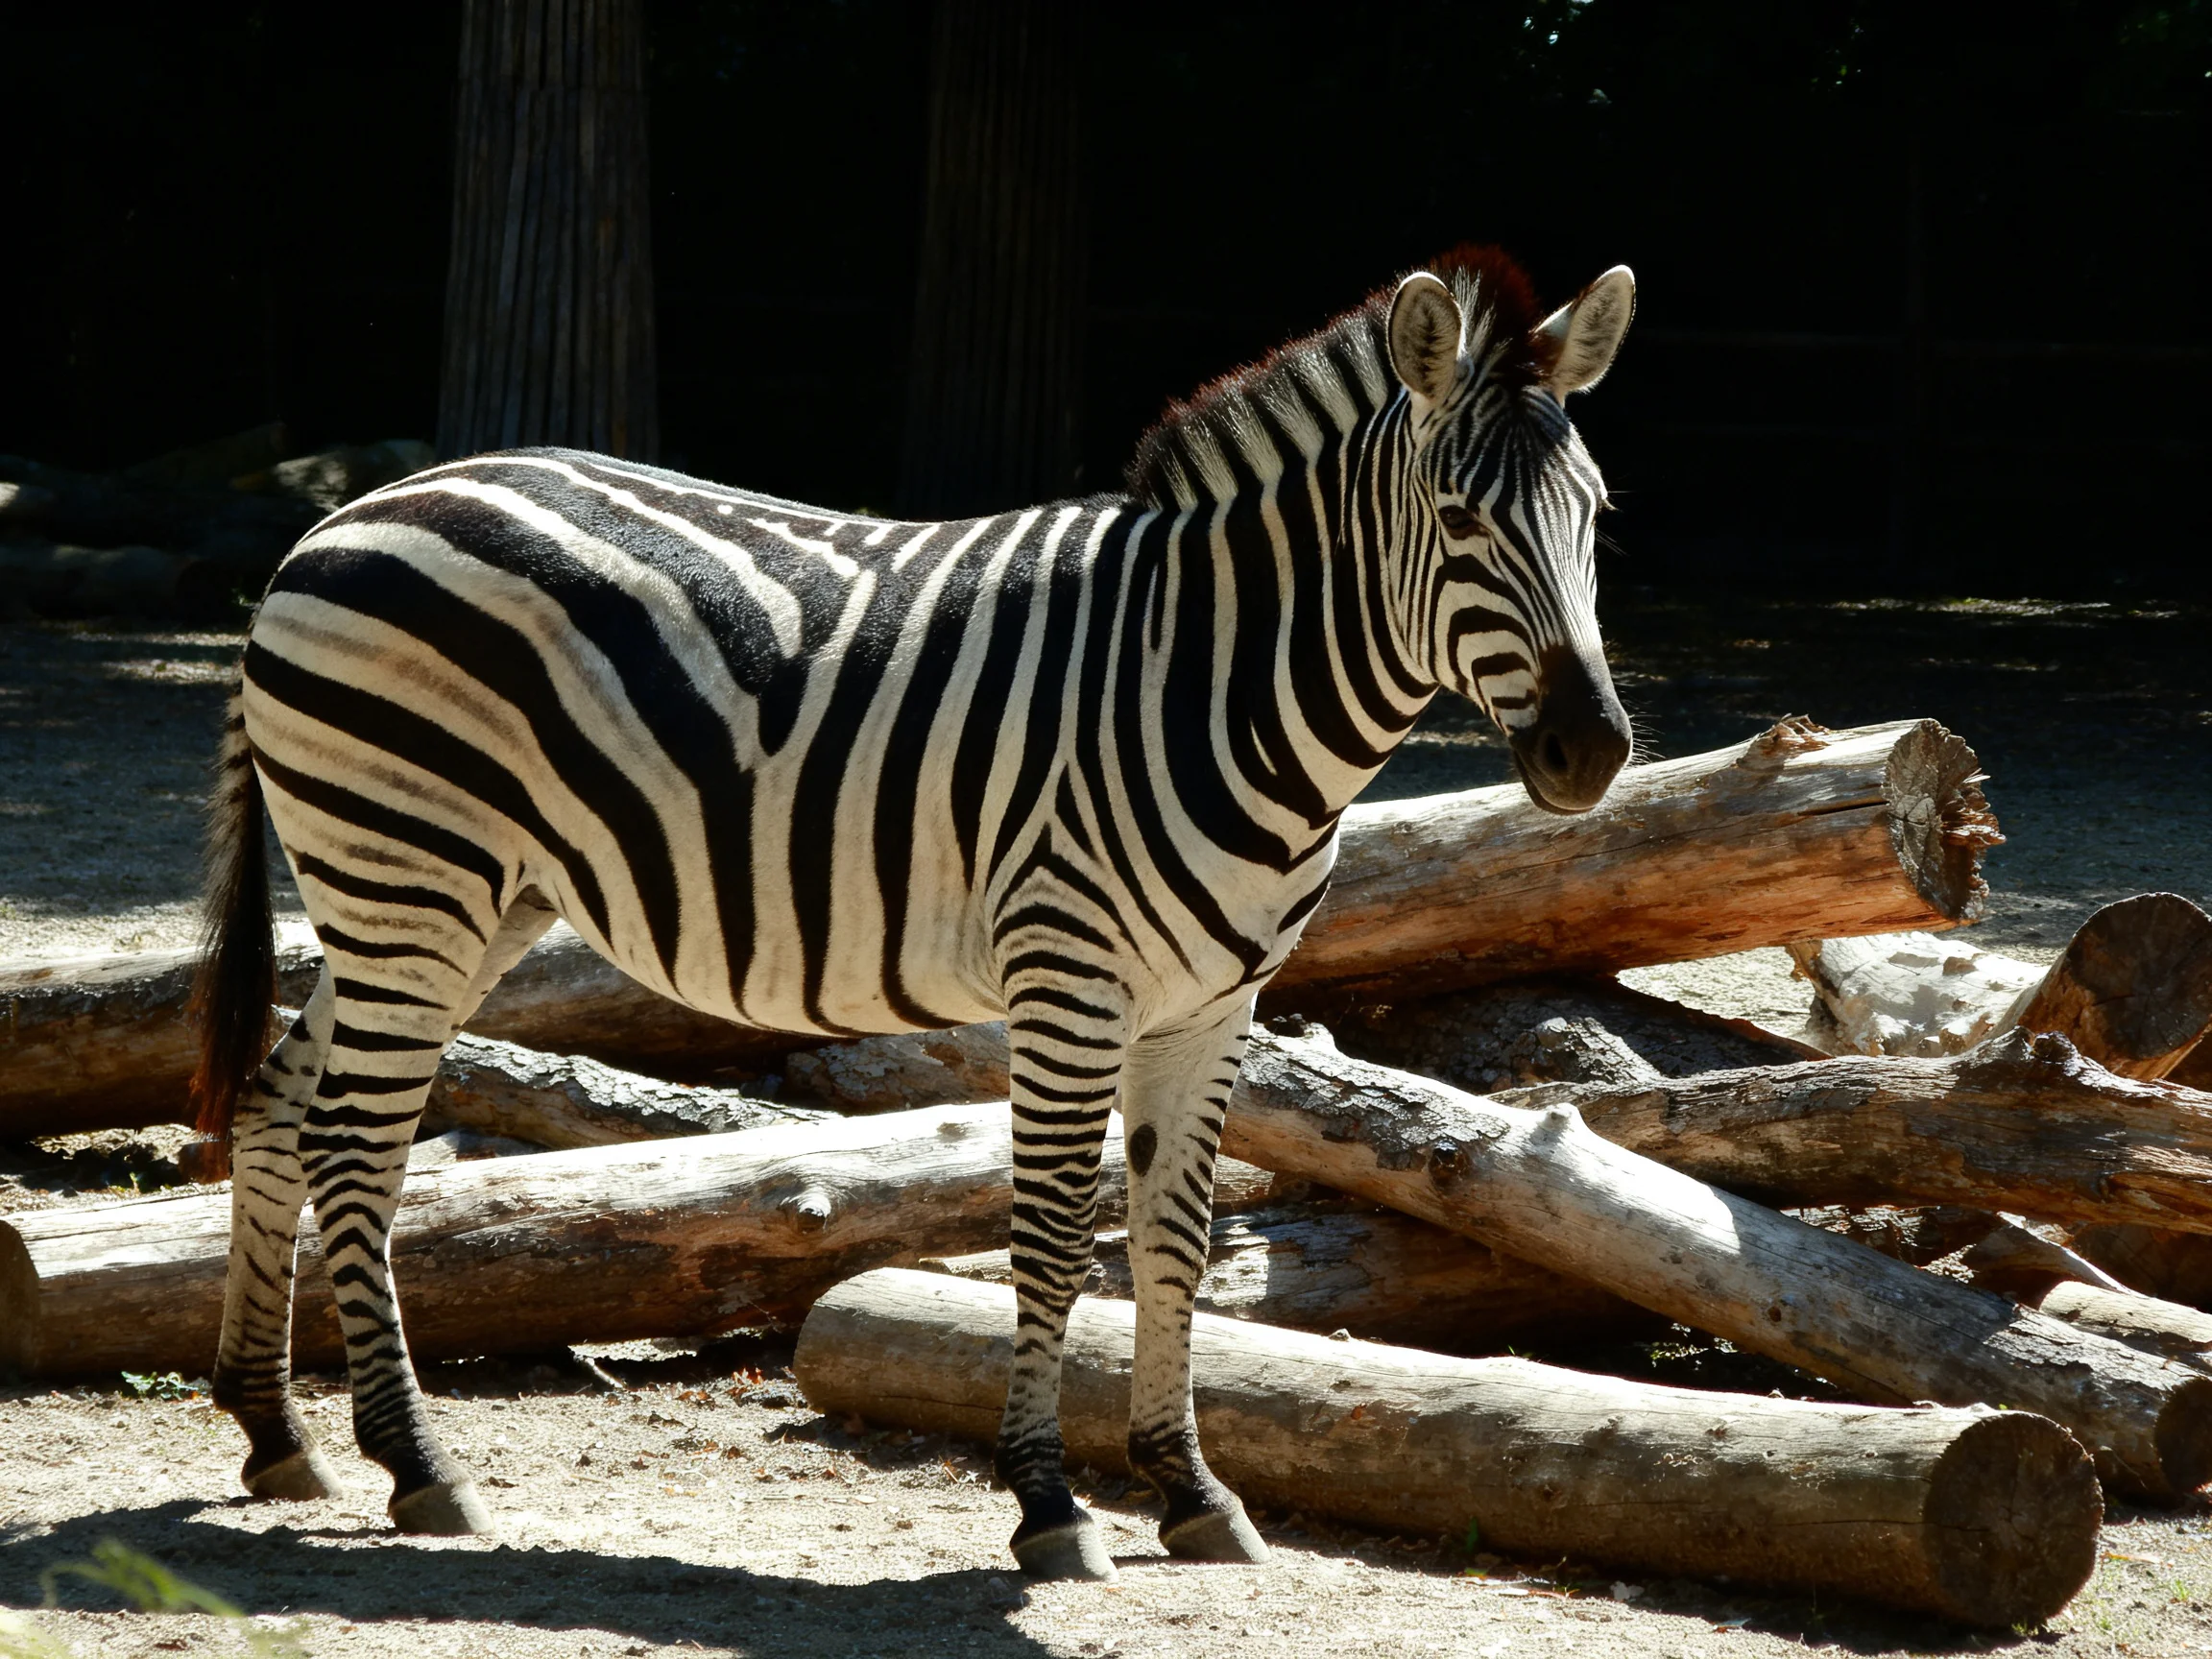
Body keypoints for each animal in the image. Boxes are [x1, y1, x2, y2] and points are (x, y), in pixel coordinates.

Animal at [191, 244, 1636, 1581]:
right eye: (1457, 517)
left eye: (1597, 515)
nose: (1594, 754)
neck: (1210, 681)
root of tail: (333, 525)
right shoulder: (1068, 977)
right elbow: (1052, 1240)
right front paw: (1049, 1506)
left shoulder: (1216, 1002)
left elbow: (1172, 1238)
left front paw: (1191, 1492)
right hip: (412, 877)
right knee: (354, 1146)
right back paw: (419, 1465)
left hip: (447, 899)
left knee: (277, 1105)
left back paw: (276, 1433)